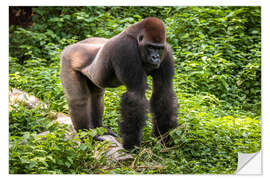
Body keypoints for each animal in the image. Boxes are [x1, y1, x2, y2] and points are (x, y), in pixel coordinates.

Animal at [60, 16, 178, 150]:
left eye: (159, 48)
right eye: (150, 47)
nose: (155, 57)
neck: (135, 37)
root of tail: (73, 45)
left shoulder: (167, 52)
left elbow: (163, 93)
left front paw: (165, 138)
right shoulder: (126, 49)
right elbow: (135, 96)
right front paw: (131, 145)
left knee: (97, 96)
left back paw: (99, 127)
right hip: (68, 58)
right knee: (79, 100)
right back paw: (87, 136)